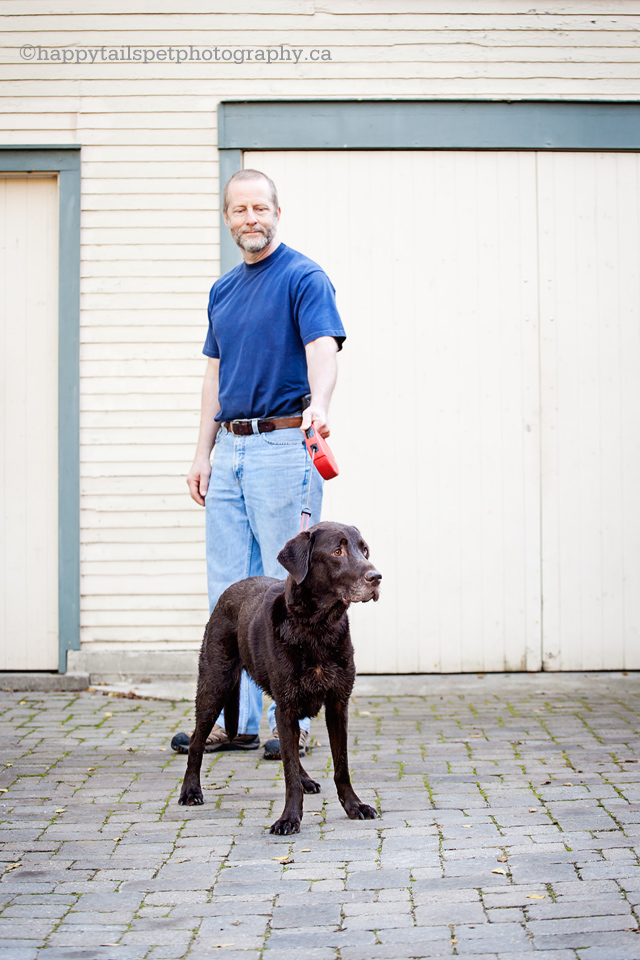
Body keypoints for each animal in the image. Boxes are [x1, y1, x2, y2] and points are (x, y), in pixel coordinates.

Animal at [178, 520, 382, 836]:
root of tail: (230, 590)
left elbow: (340, 765)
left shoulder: (337, 705)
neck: (317, 629)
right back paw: (190, 790)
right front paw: (290, 818)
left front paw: (353, 806)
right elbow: (289, 773)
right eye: (337, 552)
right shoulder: (286, 707)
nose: (376, 577)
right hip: (215, 685)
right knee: (197, 741)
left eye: (365, 550)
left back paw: (306, 778)